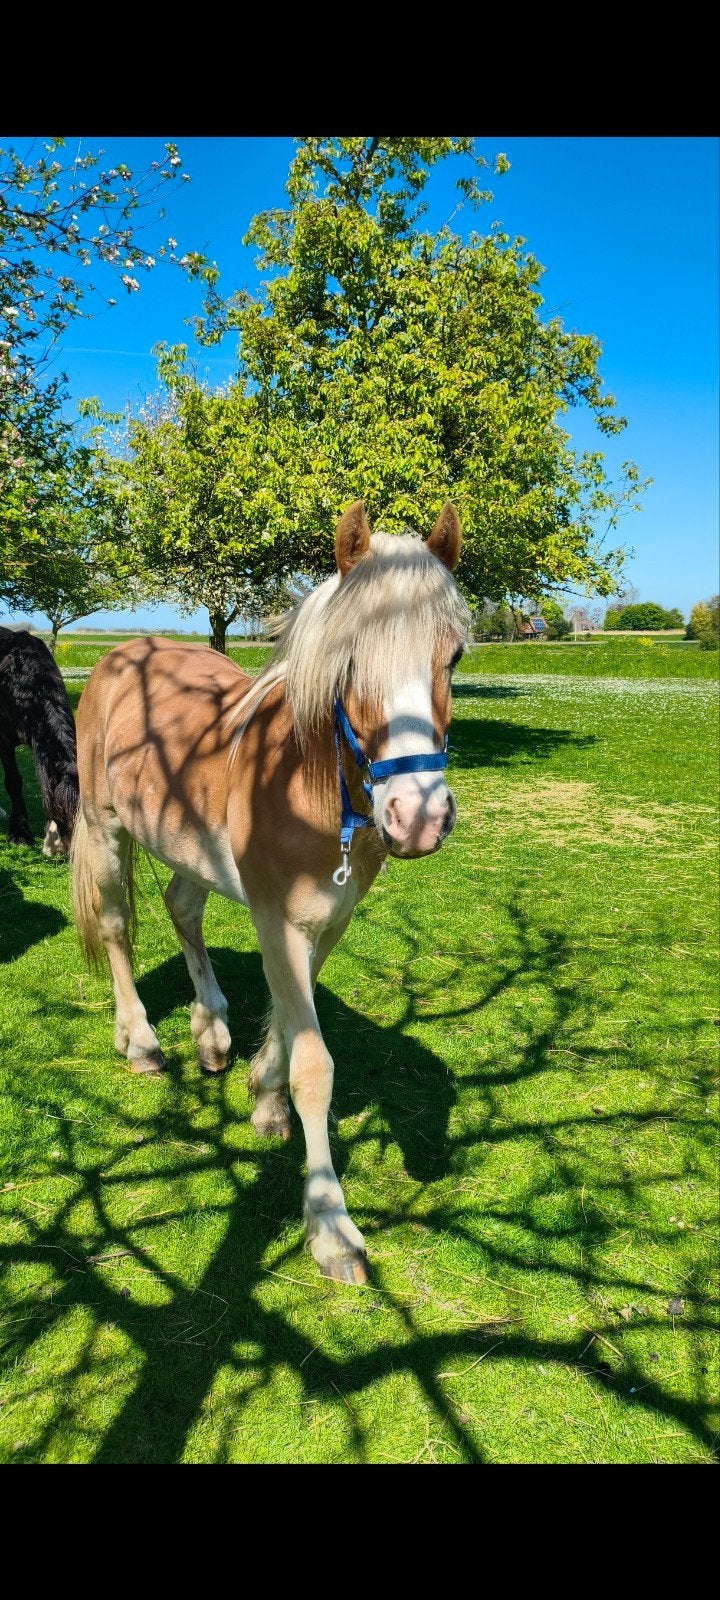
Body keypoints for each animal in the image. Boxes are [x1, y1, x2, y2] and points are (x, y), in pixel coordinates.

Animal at [70, 501, 470, 1283]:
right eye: (351, 663)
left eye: (454, 658)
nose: (418, 817)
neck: (305, 785)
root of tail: (118, 658)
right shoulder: (276, 920)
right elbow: (315, 1063)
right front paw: (330, 1227)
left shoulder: (326, 921)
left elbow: (291, 1019)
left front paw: (262, 1095)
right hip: (105, 832)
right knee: (117, 927)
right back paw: (140, 1041)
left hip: (190, 851)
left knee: (182, 910)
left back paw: (211, 1030)